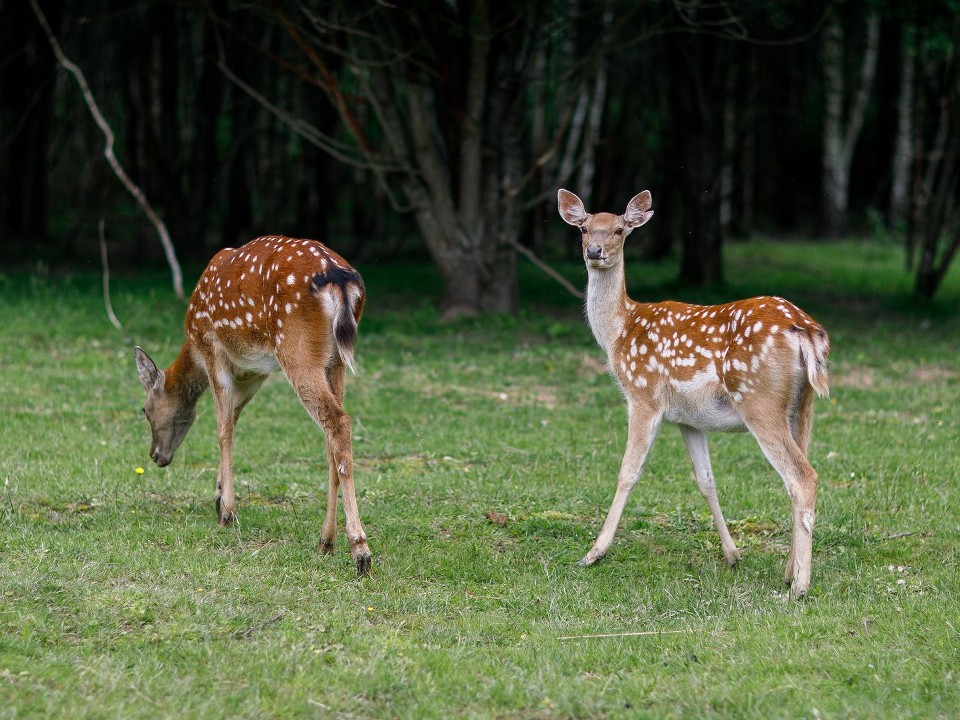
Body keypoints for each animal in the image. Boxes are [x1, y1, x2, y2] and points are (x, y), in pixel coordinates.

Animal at [134, 236, 372, 572]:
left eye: (144, 410)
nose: (156, 455)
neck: (192, 346)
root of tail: (339, 279)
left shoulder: (212, 348)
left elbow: (223, 429)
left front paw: (226, 511)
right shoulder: (255, 371)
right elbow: (233, 418)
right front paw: (218, 494)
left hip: (296, 347)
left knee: (337, 421)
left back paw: (360, 550)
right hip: (335, 360)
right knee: (333, 436)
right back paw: (326, 540)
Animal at [560, 188, 828, 600]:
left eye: (620, 229)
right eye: (584, 228)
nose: (594, 251)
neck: (619, 331)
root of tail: (808, 331)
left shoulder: (644, 395)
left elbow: (627, 472)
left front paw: (594, 553)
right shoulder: (689, 419)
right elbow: (706, 480)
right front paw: (732, 555)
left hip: (759, 400)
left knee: (802, 477)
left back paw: (798, 587)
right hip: (803, 405)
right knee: (797, 478)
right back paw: (788, 572)